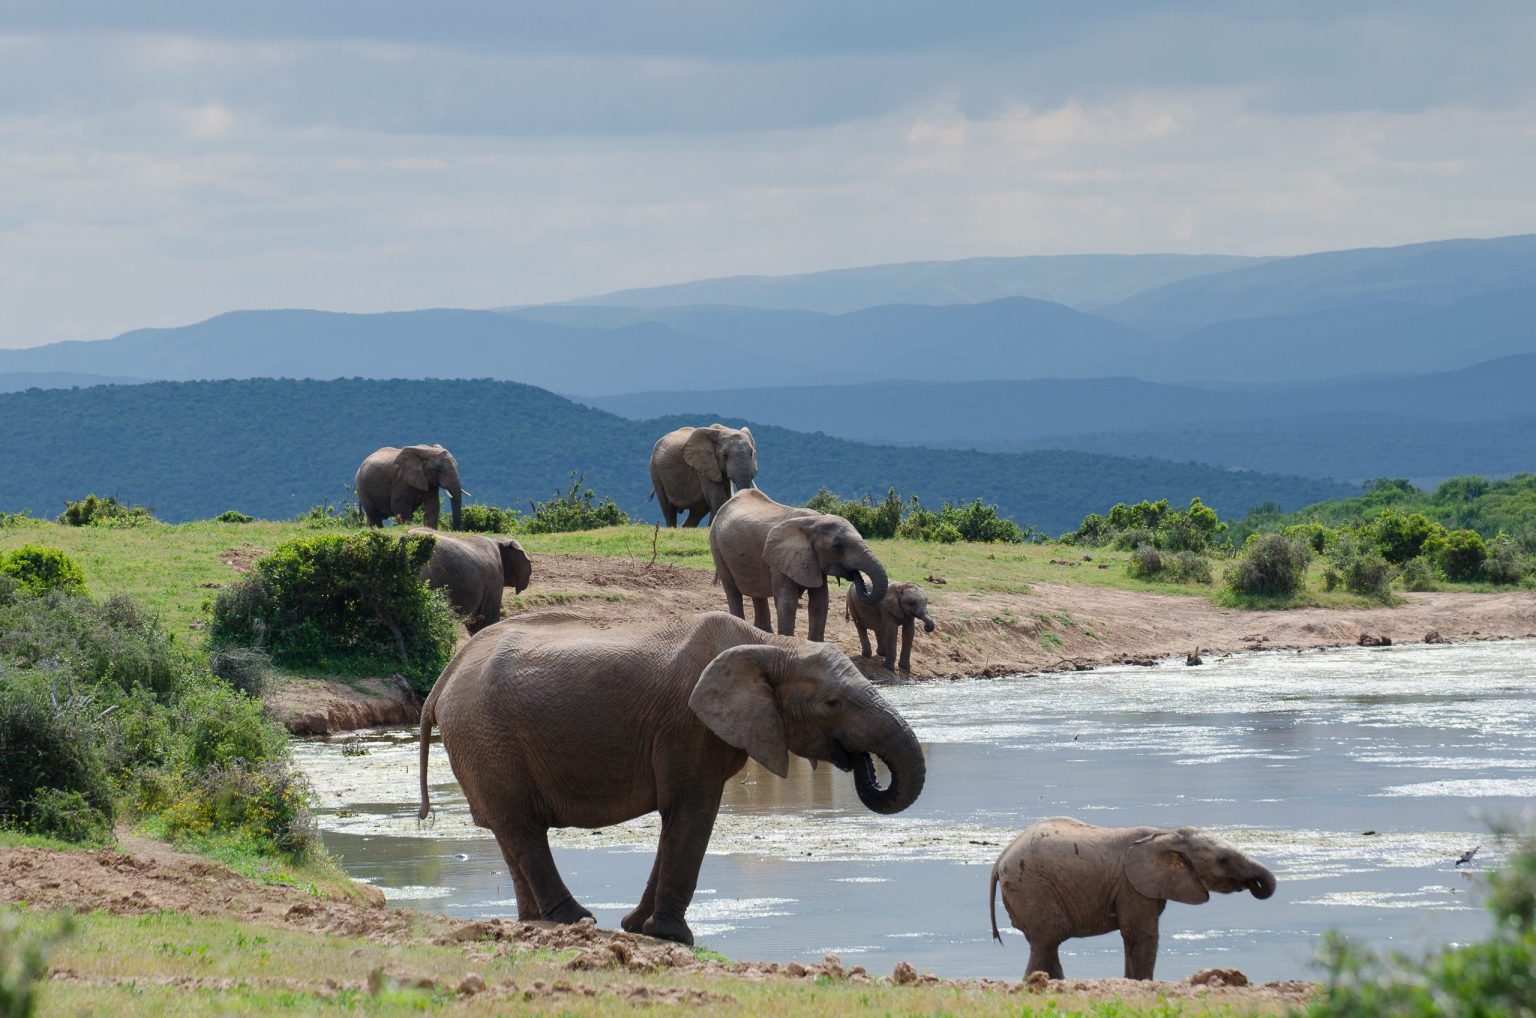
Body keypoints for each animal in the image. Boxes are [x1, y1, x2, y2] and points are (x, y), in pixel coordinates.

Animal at [417, 610, 925, 947]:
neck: (772, 645)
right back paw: (574, 922)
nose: (860, 762)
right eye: (833, 704)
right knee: (522, 828)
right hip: (486, 737)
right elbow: (692, 813)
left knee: (512, 830)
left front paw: (636, 927)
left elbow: (675, 819)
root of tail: (444, 677)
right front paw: (674, 937)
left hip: (484, 743)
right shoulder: (689, 727)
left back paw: (533, 923)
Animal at [708, 488, 888, 641]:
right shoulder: (780, 560)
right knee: (732, 589)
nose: (857, 576)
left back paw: (762, 632)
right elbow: (787, 601)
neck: (814, 521)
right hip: (716, 543)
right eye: (838, 547)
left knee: (756, 591)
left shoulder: (813, 561)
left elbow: (820, 601)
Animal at [988, 817, 1277, 981]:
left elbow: (1131, 936)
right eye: (1223, 860)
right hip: (1031, 886)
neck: (1168, 833)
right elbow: (1141, 934)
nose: (1255, 886)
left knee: (1046, 943)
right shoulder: (1132, 885)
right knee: (1047, 939)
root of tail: (1001, 859)